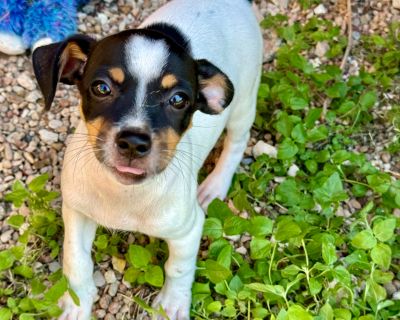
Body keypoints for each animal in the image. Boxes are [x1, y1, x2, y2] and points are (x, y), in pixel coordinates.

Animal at [31, 0, 262, 318]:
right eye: (101, 87)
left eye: (178, 99)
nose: (133, 142)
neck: (125, 195)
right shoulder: (76, 211)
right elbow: (75, 261)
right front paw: (77, 304)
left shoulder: (189, 230)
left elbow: (178, 268)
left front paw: (173, 303)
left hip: (243, 104)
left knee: (237, 143)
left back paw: (214, 186)